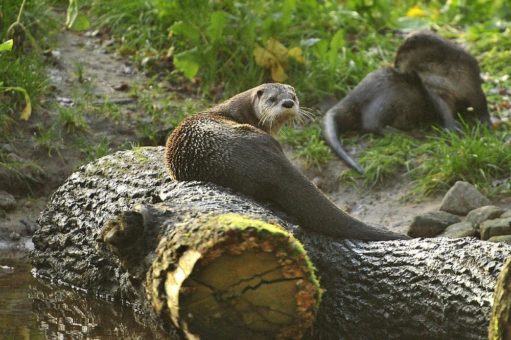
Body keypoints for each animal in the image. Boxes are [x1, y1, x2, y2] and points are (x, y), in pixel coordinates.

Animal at [324, 30, 492, 174]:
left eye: (399, 57)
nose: (395, 67)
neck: (447, 76)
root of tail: (353, 95)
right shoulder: (435, 92)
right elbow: (445, 111)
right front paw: (453, 128)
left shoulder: (471, 82)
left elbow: (481, 104)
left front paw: (486, 124)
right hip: (387, 97)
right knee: (370, 123)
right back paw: (408, 135)